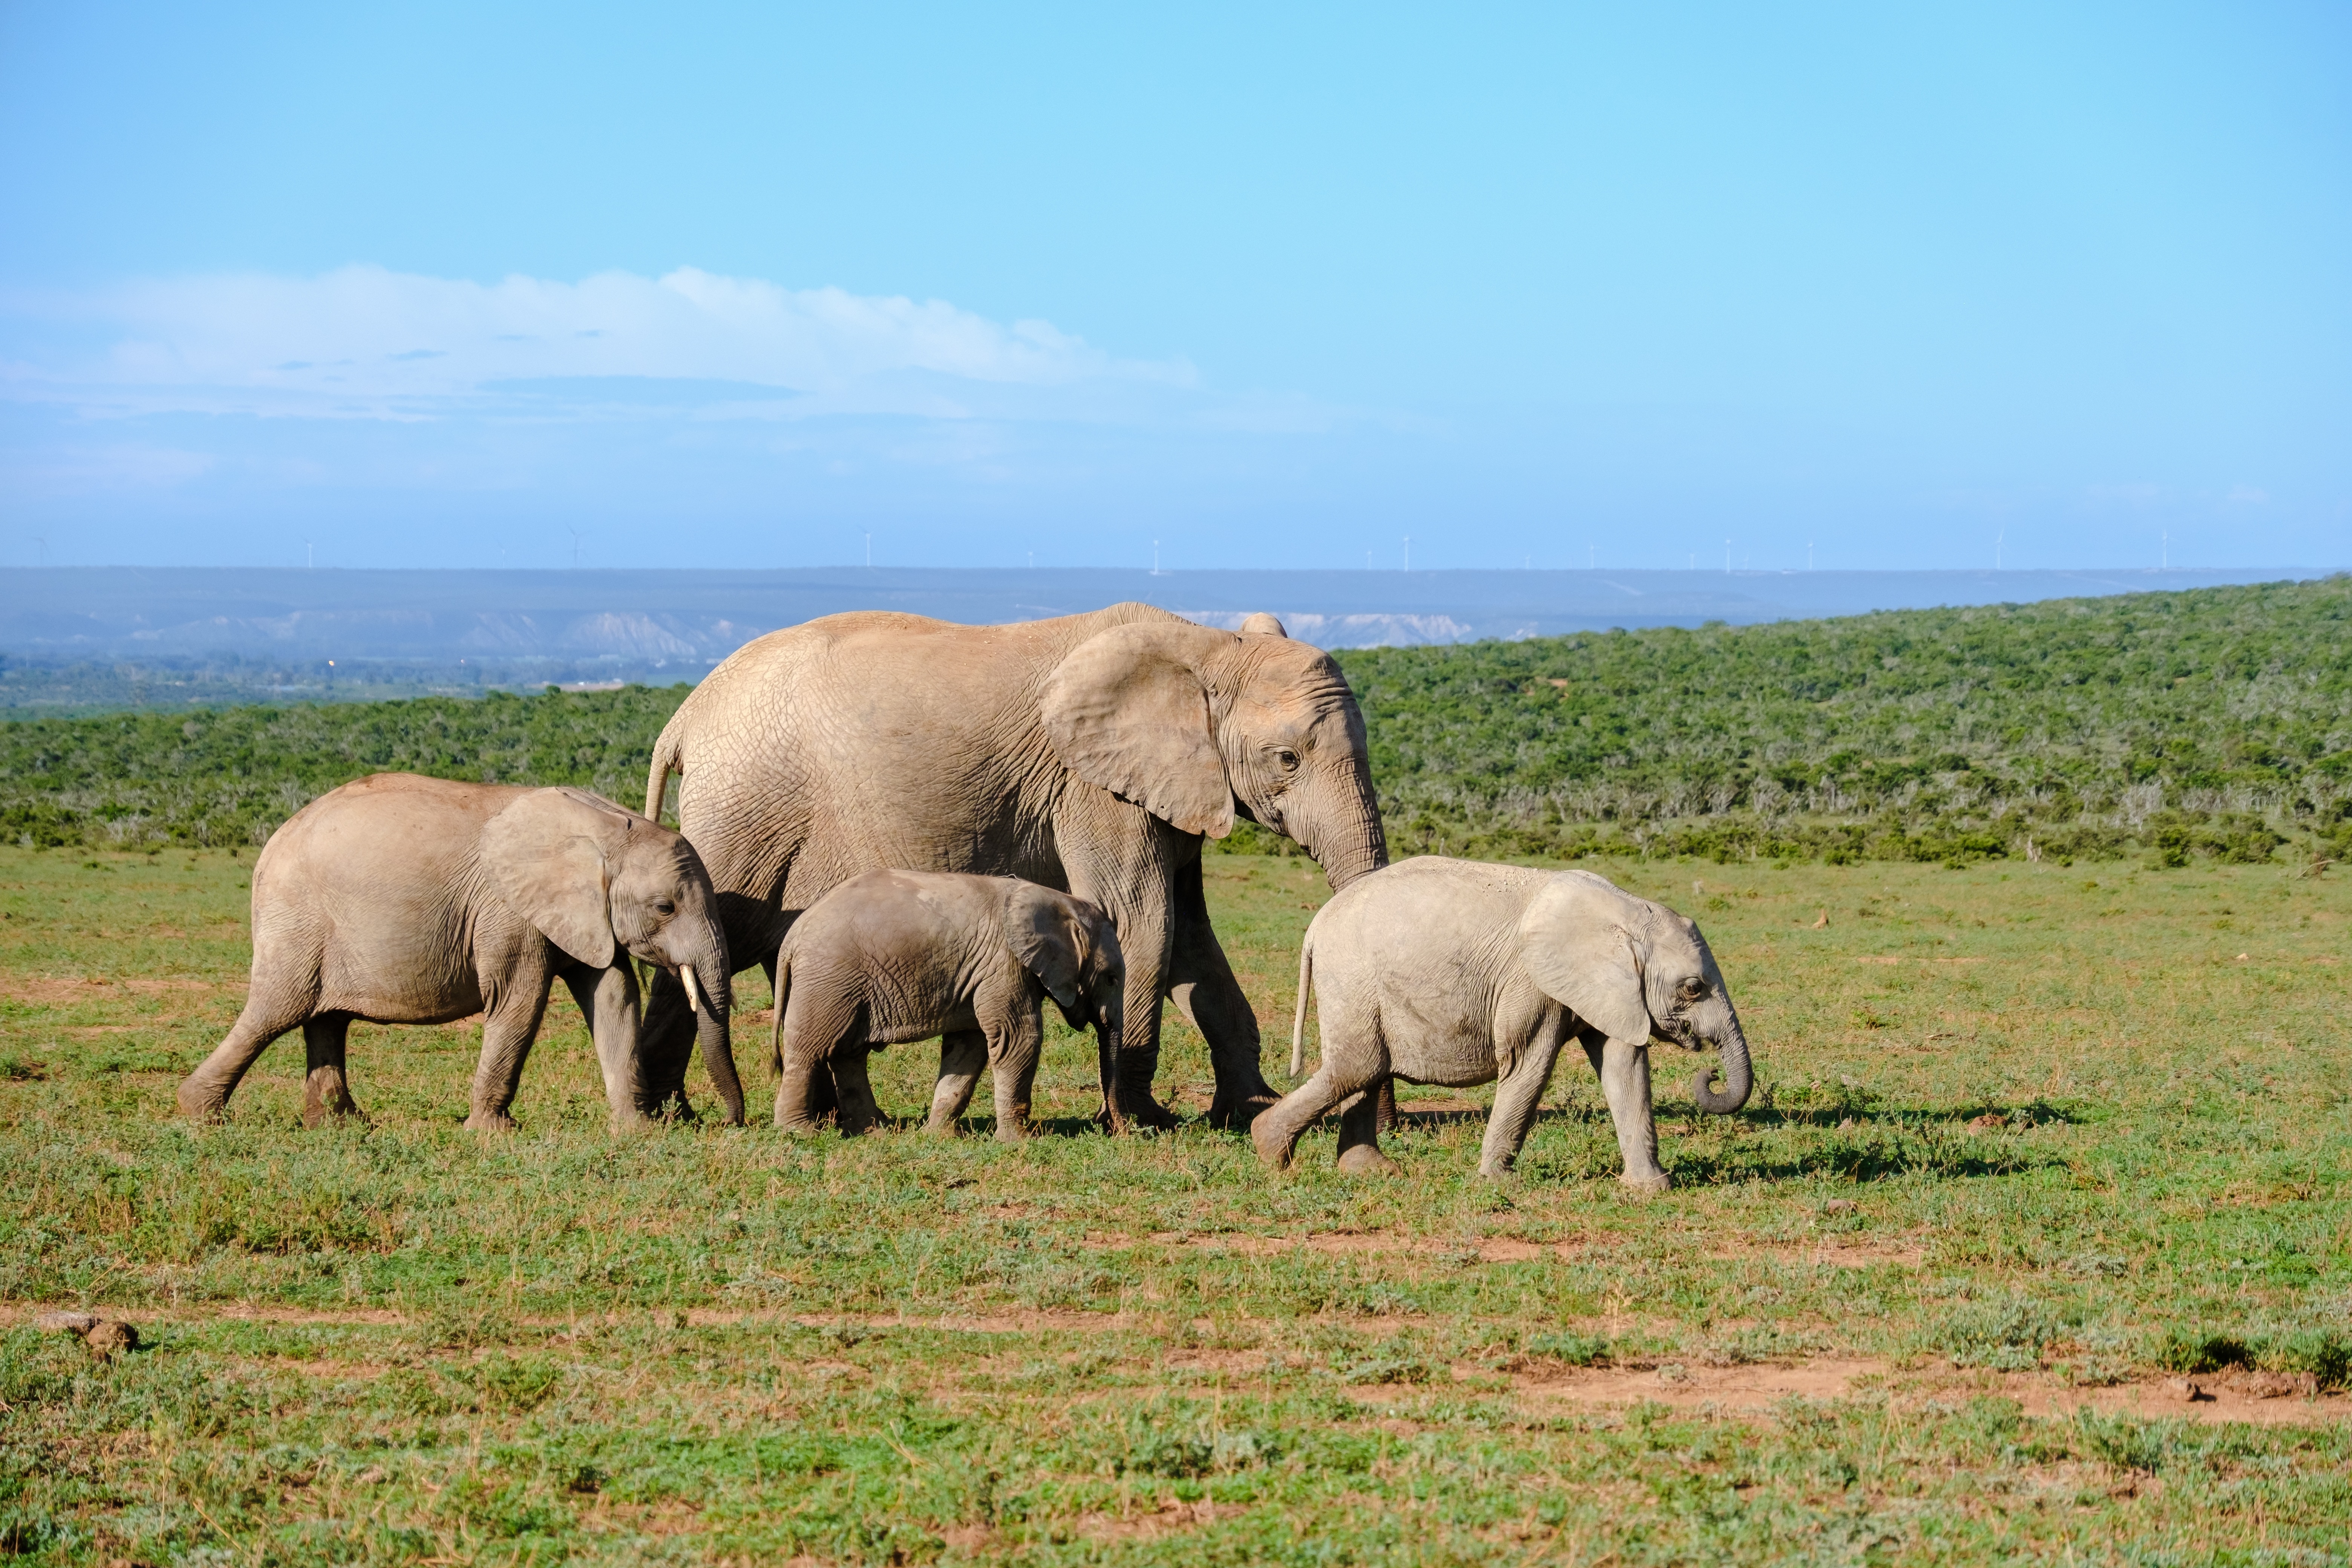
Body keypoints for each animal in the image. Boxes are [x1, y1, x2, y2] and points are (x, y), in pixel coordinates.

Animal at [175, 773, 741, 1130]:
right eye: (665, 907)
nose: (730, 1122)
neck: (606, 827)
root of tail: (273, 843)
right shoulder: (507, 912)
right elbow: (519, 1002)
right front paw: (494, 1134)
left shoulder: (586, 916)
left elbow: (614, 995)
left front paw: (636, 1131)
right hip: (295, 917)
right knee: (277, 1010)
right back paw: (201, 1115)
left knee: (326, 1019)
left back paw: (342, 1125)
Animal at [768, 870, 1124, 1140]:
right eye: (1111, 979)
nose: (1118, 1130)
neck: (1058, 900)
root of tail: (793, 936)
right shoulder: (1004, 962)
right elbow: (1016, 1037)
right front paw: (1020, 1141)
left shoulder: (982, 970)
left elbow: (969, 1047)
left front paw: (939, 1137)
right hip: (828, 980)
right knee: (810, 1051)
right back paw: (802, 1134)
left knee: (848, 1055)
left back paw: (875, 1133)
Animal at [1251, 857, 1753, 1187]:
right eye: (1693, 988)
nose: (1710, 1072)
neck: (1624, 913)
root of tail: (1315, 927)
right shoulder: (1532, 983)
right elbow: (1529, 1066)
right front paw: (1499, 1182)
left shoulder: (1613, 989)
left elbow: (1624, 1066)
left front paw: (1651, 1188)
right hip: (1351, 976)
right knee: (1358, 1066)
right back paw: (1270, 1153)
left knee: (1367, 1070)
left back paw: (1372, 1171)